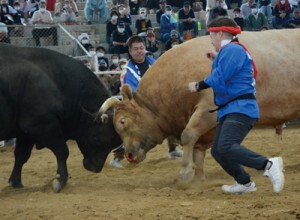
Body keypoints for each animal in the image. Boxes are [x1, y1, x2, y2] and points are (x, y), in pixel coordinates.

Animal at [0, 44, 122, 192]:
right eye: (96, 138)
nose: (95, 168)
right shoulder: (43, 126)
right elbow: (62, 151)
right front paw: (60, 180)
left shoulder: (25, 133)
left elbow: (21, 156)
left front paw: (15, 182)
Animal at [99, 28, 300, 180]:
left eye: (122, 121)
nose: (129, 155)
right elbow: (198, 149)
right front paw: (198, 177)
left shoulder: (207, 111)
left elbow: (188, 136)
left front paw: (186, 171)